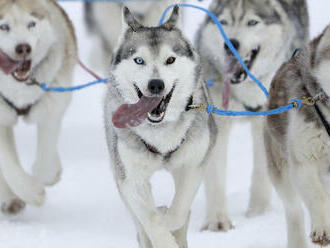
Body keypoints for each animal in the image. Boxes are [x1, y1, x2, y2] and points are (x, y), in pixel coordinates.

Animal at [0, 0, 76, 213]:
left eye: (31, 24)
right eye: (4, 26)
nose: (23, 48)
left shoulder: (53, 104)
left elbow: (45, 162)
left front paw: (47, 176)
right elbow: (7, 163)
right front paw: (30, 191)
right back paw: (10, 198)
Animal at [104, 5, 217, 248]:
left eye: (170, 59)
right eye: (139, 60)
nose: (156, 84)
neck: (160, 132)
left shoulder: (193, 166)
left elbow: (178, 211)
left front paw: (168, 216)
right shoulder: (131, 180)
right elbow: (151, 220)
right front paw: (162, 235)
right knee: (139, 224)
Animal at [195, 0, 308, 231]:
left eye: (252, 22)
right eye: (224, 22)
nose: (231, 43)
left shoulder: (266, 120)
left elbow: (261, 169)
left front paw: (258, 211)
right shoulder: (217, 121)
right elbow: (216, 174)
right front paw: (217, 220)